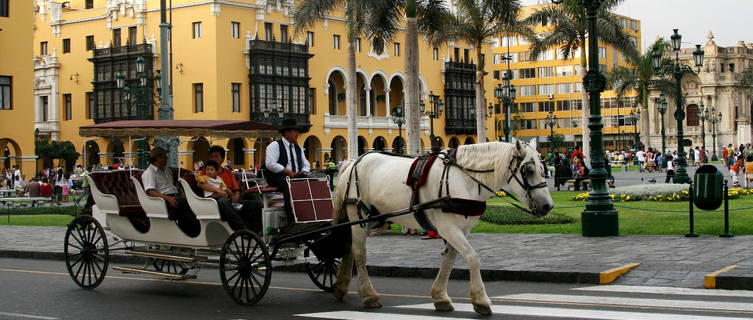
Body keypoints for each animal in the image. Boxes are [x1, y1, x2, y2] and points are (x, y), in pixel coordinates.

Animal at [330, 140, 552, 316]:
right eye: (528, 170)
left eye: (543, 169)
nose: (547, 206)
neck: (464, 179)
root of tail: (352, 162)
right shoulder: (448, 227)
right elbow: (473, 258)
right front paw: (481, 300)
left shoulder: (461, 229)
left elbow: (449, 260)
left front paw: (440, 297)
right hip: (358, 214)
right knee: (360, 253)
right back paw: (369, 295)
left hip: (371, 218)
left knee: (349, 247)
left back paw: (341, 287)